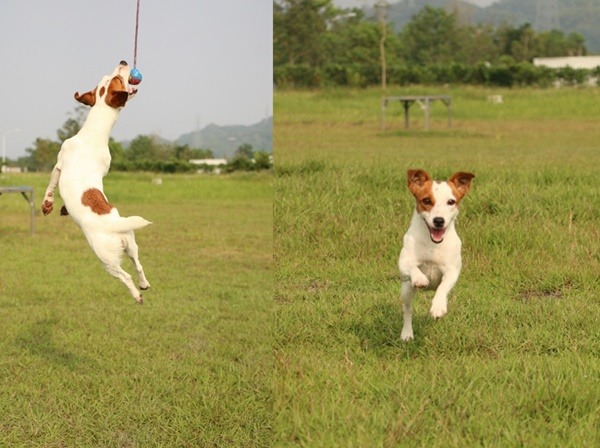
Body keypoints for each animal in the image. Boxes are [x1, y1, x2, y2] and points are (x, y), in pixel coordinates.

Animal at [41, 60, 151, 304]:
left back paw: (137, 295)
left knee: (125, 275)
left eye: (117, 79)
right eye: (110, 77)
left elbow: (51, 186)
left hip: (106, 259)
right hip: (131, 243)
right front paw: (62, 208)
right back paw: (144, 284)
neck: (93, 133)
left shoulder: (59, 165)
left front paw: (48, 204)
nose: (123, 61)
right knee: (138, 264)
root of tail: (113, 227)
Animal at [396, 168, 476, 340]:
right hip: (406, 290)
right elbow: (412, 267)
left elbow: (443, 287)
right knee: (408, 310)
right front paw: (420, 278)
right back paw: (407, 333)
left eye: (451, 201)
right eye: (426, 200)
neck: (433, 243)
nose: (439, 220)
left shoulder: (452, 271)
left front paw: (438, 307)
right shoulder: (404, 262)